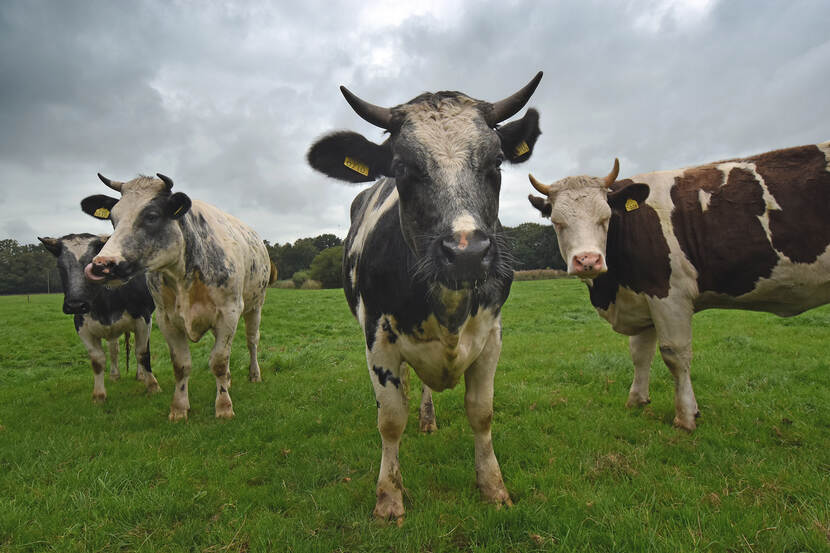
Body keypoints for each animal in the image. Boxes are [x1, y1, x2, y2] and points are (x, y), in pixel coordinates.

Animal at [37, 233, 161, 402]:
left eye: (95, 265)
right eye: (60, 267)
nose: (75, 305)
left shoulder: (144, 318)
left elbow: (142, 353)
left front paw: (153, 386)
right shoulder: (81, 326)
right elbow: (97, 360)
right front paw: (99, 395)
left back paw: (140, 375)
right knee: (114, 348)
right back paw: (114, 375)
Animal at [81, 172, 278, 418]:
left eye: (152, 216)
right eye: (113, 219)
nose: (101, 265)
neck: (185, 273)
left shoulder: (229, 312)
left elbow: (219, 361)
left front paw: (224, 407)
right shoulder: (166, 319)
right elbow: (182, 365)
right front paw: (179, 408)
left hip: (255, 305)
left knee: (252, 341)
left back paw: (254, 374)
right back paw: (229, 380)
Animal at [308, 72, 544, 516]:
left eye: (496, 162)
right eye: (403, 167)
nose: (466, 252)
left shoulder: (491, 337)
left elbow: (481, 413)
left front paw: (493, 487)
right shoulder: (378, 337)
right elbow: (390, 420)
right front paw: (388, 499)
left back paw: (428, 419)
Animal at [528, 140, 830, 430]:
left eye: (606, 218)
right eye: (557, 222)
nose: (587, 260)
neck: (614, 290)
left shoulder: (669, 294)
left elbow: (675, 354)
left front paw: (686, 416)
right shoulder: (644, 294)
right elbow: (640, 353)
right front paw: (637, 400)